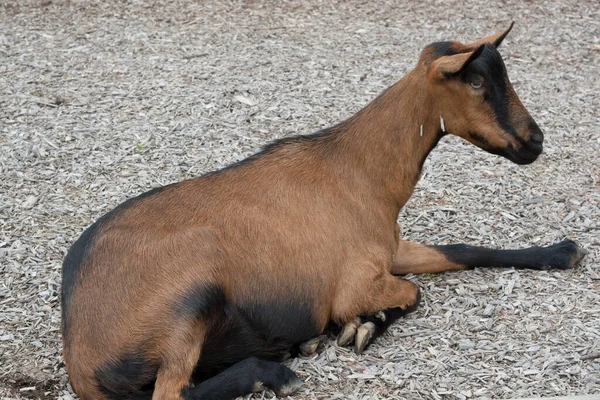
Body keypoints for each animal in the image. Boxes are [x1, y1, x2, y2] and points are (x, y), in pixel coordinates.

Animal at [62, 25, 584, 400]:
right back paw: (273, 371)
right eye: (475, 81)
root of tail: (79, 355)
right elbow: (413, 294)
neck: (361, 173)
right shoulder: (356, 279)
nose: (535, 141)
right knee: (169, 393)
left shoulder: (390, 247)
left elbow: (461, 251)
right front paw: (361, 326)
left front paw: (563, 251)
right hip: (188, 299)